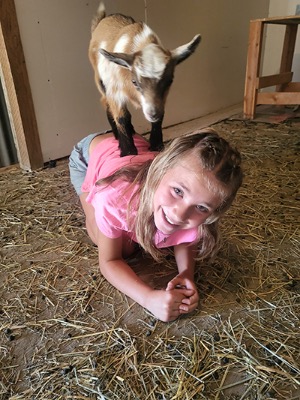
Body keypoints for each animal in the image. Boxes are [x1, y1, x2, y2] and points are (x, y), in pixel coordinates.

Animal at [89, 2, 202, 157]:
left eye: (170, 81)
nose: (152, 114)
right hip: (101, 82)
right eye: (135, 82)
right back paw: (117, 135)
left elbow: (160, 115)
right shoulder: (115, 92)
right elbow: (121, 117)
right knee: (105, 103)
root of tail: (103, 19)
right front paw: (128, 152)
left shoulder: (159, 101)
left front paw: (156, 145)